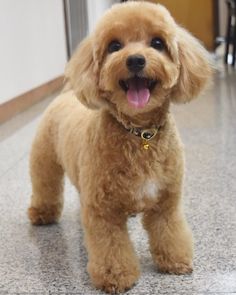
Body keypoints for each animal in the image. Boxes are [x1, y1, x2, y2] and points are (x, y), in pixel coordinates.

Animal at [27, 1, 212, 294]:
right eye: (114, 46)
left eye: (157, 42)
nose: (135, 60)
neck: (140, 134)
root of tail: (68, 93)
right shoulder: (104, 212)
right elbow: (111, 248)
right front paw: (117, 277)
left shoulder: (166, 202)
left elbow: (170, 233)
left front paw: (175, 261)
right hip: (45, 161)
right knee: (45, 186)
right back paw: (41, 213)